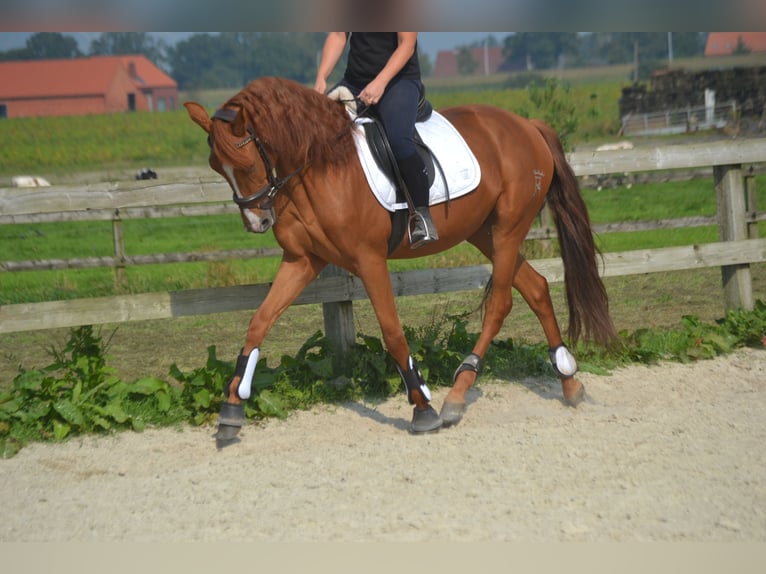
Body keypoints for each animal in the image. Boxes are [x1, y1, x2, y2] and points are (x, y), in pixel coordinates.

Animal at [184, 76, 616, 446]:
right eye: (216, 167)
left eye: (245, 164)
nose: (257, 222)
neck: (320, 167)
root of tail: (527, 125)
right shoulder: (303, 261)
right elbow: (258, 324)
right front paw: (230, 411)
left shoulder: (369, 260)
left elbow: (392, 332)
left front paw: (423, 408)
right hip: (485, 232)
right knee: (536, 288)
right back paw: (569, 382)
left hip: (509, 227)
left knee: (501, 302)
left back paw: (457, 395)